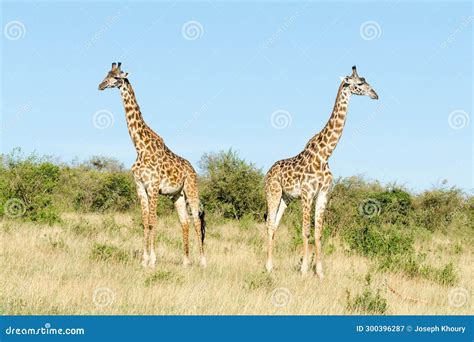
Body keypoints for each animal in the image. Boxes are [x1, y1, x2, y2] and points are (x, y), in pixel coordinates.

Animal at [98, 62, 206, 268]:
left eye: (117, 77)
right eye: (106, 74)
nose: (101, 85)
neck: (140, 146)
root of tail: (193, 170)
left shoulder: (153, 186)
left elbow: (152, 221)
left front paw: (152, 260)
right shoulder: (140, 186)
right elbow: (144, 221)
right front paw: (143, 259)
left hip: (191, 189)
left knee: (196, 221)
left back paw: (203, 261)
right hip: (177, 195)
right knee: (184, 222)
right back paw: (185, 261)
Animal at [262, 66, 378, 278]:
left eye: (366, 80)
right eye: (359, 83)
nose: (375, 94)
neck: (325, 155)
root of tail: (268, 171)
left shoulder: (323, 193)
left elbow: (318, 232)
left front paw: (320, 272)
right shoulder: (307, 194)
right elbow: (306, 231)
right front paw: (304, 271)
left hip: (286, 198)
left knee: (275, 224)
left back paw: (272, 266)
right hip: (272, 193)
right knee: (270, 224)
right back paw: (268, 267)